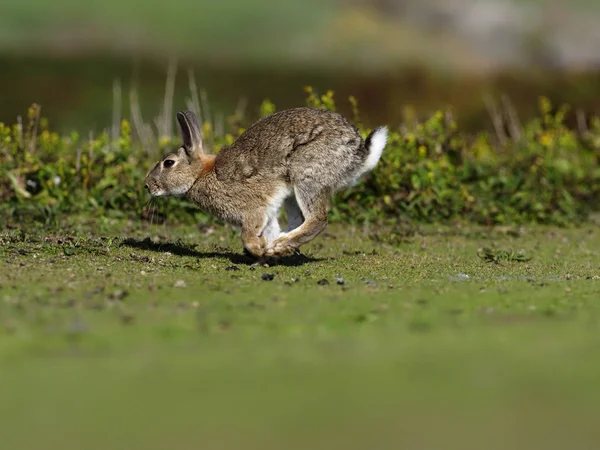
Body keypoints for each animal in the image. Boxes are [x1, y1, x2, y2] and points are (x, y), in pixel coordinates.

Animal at [145, 107, 390, 262]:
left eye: (168, 163)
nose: (147, 186)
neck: (200, 174)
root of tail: (359, 155)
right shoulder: (268, 210)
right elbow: (269, 226)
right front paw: (264, 251)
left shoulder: (252, 209)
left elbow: (248, 233)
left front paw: (258, 249)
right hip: (293, 192)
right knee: (298, 220)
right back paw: (279, 246)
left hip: (306, 175)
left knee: (317, 219)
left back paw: (280, 246)